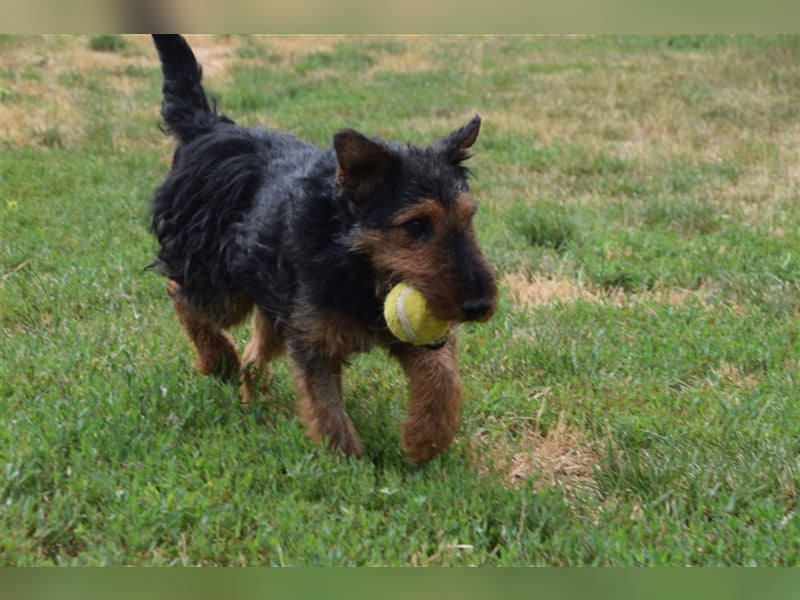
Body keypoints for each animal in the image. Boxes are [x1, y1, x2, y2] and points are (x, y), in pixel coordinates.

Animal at [148, 34, 496, 464]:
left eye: (468, 218)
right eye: (416, 226)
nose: (479, 306)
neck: (351, 259)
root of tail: (207, 128)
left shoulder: (395, 335)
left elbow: (441, 375)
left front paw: (424, 439)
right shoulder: (314, 342)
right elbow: (326, 408)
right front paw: (346, 465)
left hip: (275, 303)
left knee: (254, 350)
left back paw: (254, 395)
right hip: (220, 283)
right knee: (181, 295)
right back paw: (219, 360)